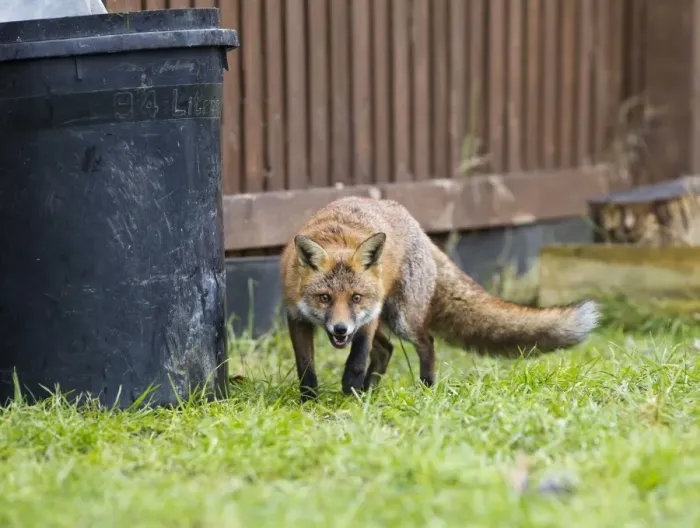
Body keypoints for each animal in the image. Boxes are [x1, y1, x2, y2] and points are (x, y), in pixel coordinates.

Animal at [280, 196, 600, 401]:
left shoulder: (367, 316)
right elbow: (306, 368)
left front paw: (349, 391)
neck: (338, 238)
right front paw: (309, 401)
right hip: (388, 320)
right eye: (324, 298)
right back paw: (370, 391)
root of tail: (418, 227)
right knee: (387, 350)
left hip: (401, 318)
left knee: (426, 343)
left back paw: (425, 387)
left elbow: (357, 359)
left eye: (356, 297)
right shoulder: (296, 317)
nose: (340, 329)